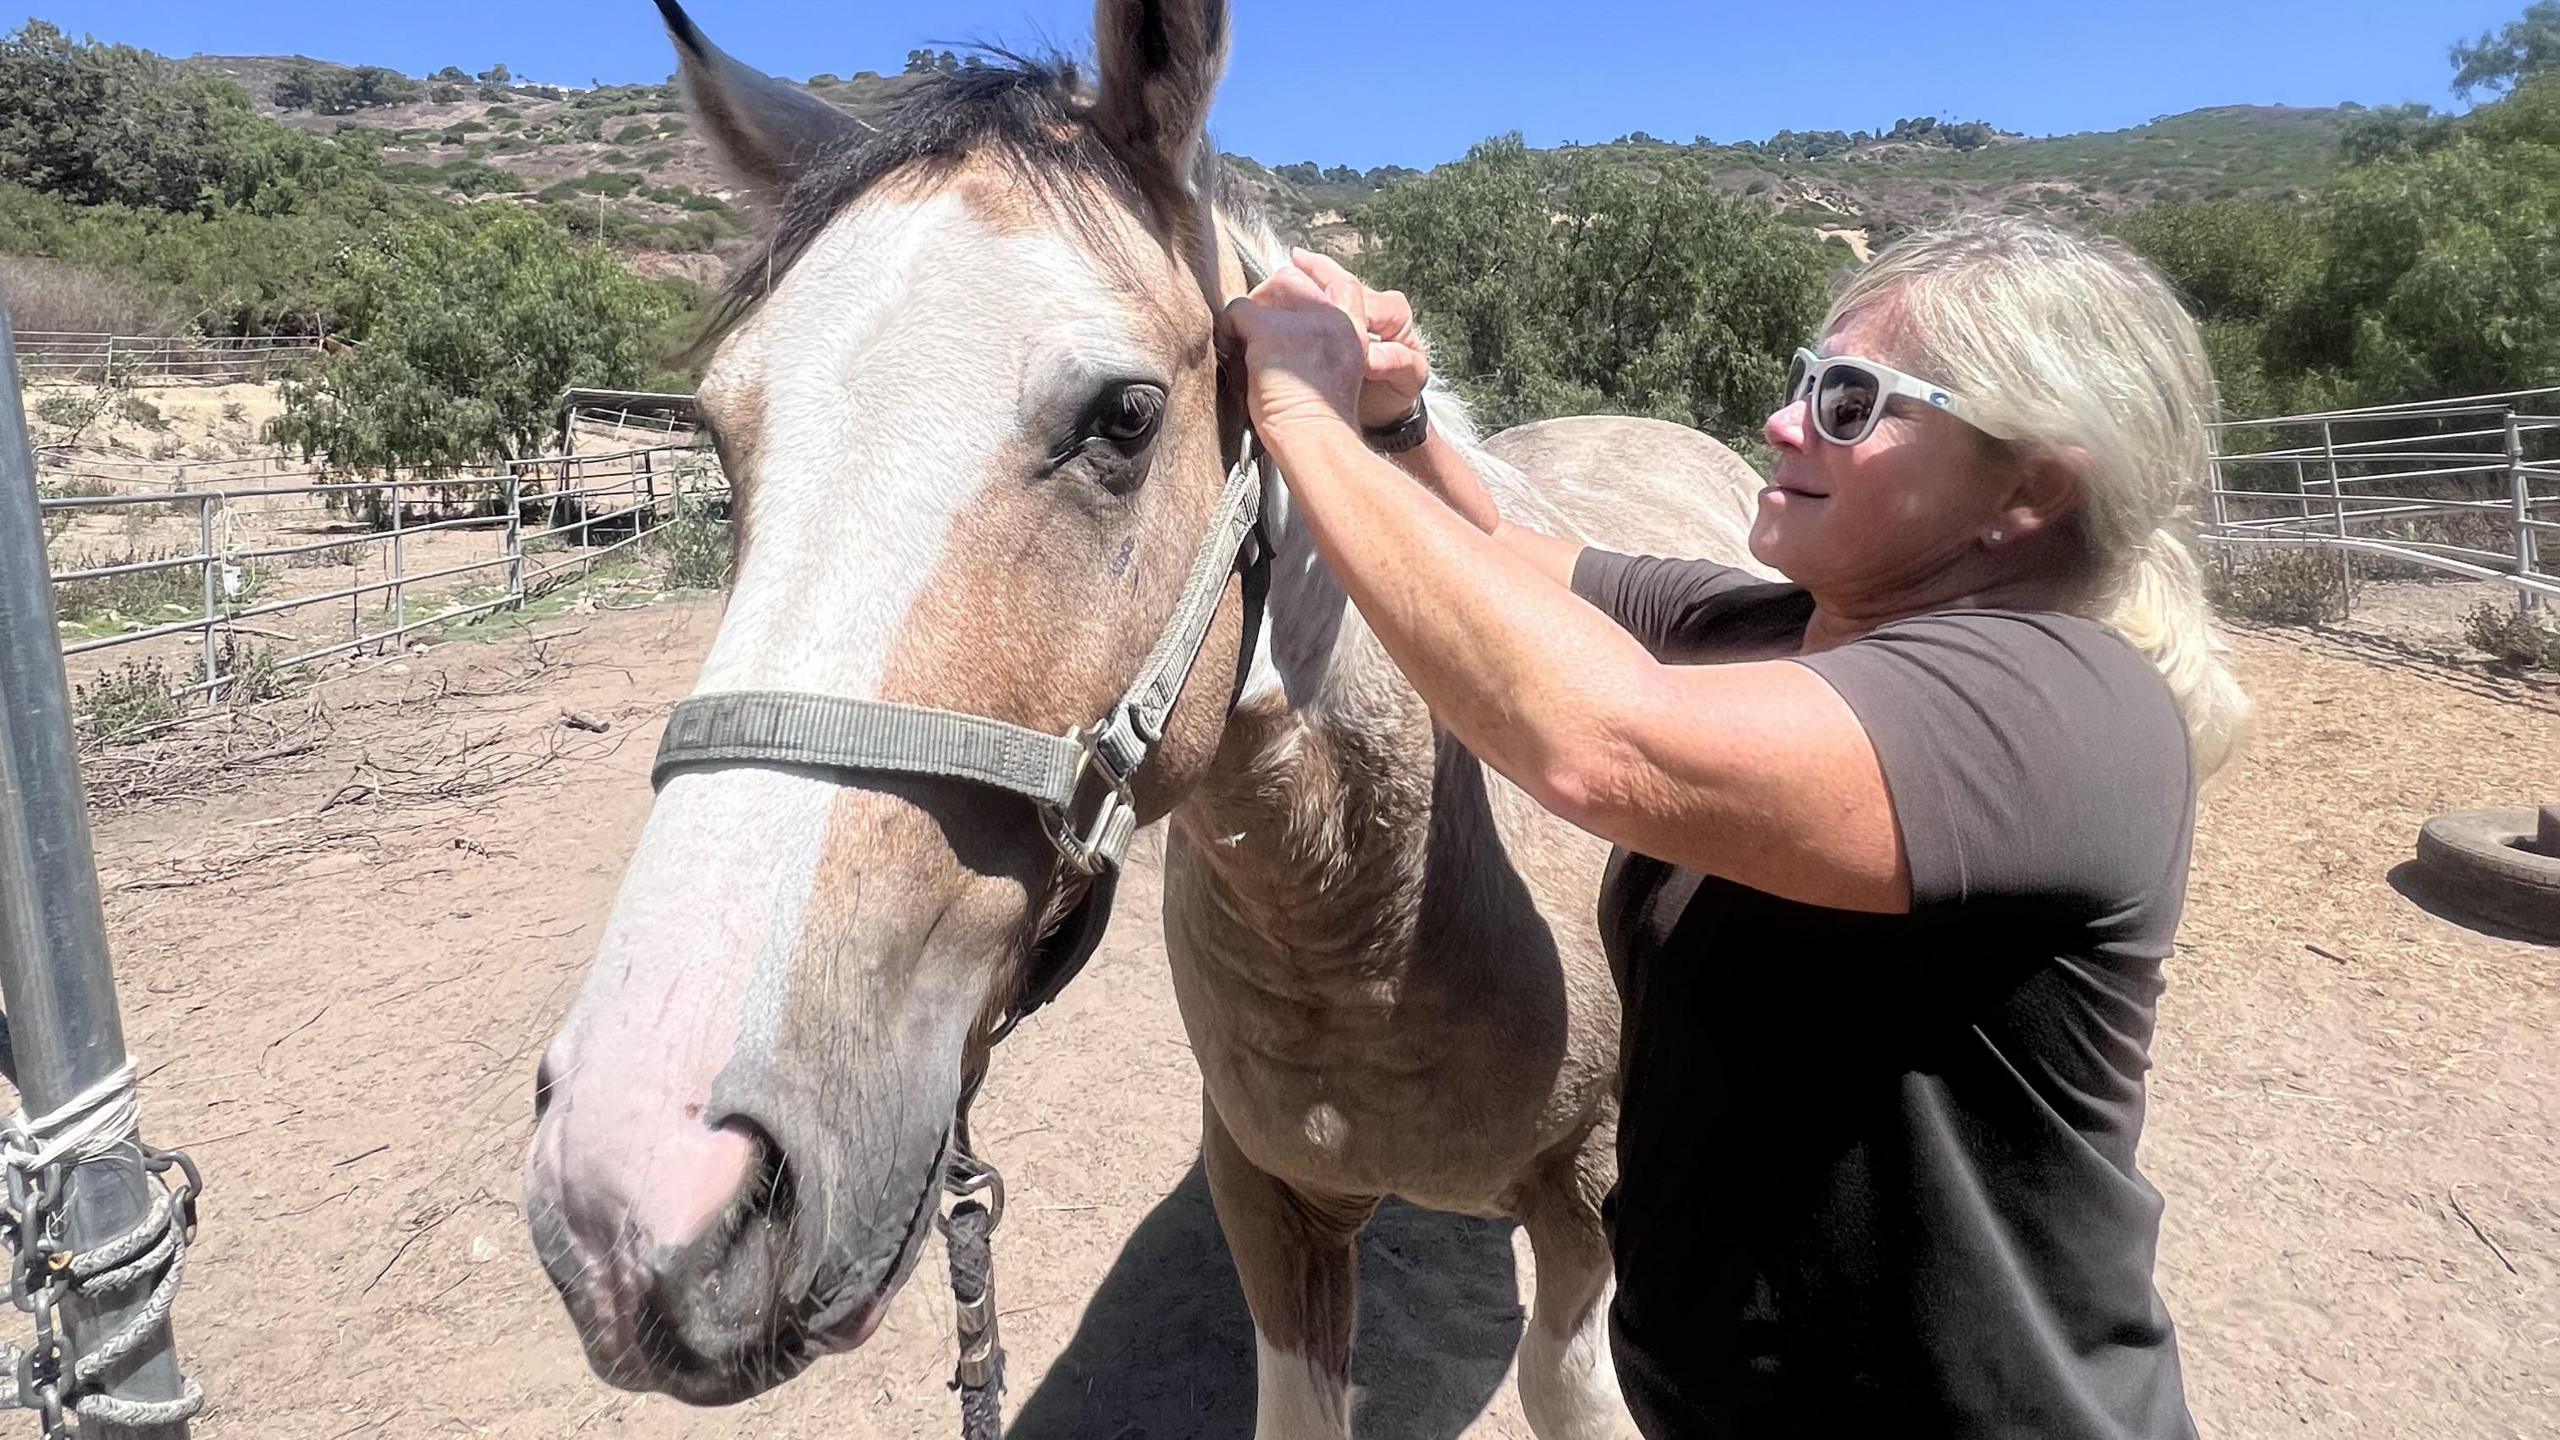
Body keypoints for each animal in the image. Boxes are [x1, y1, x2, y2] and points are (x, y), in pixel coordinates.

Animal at [529, 5, 1771, 1424]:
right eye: (727, 438)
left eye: (1123, 416)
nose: (636, 1176)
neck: (1381, 909)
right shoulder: (1267, 1200)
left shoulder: (1584, 1228)